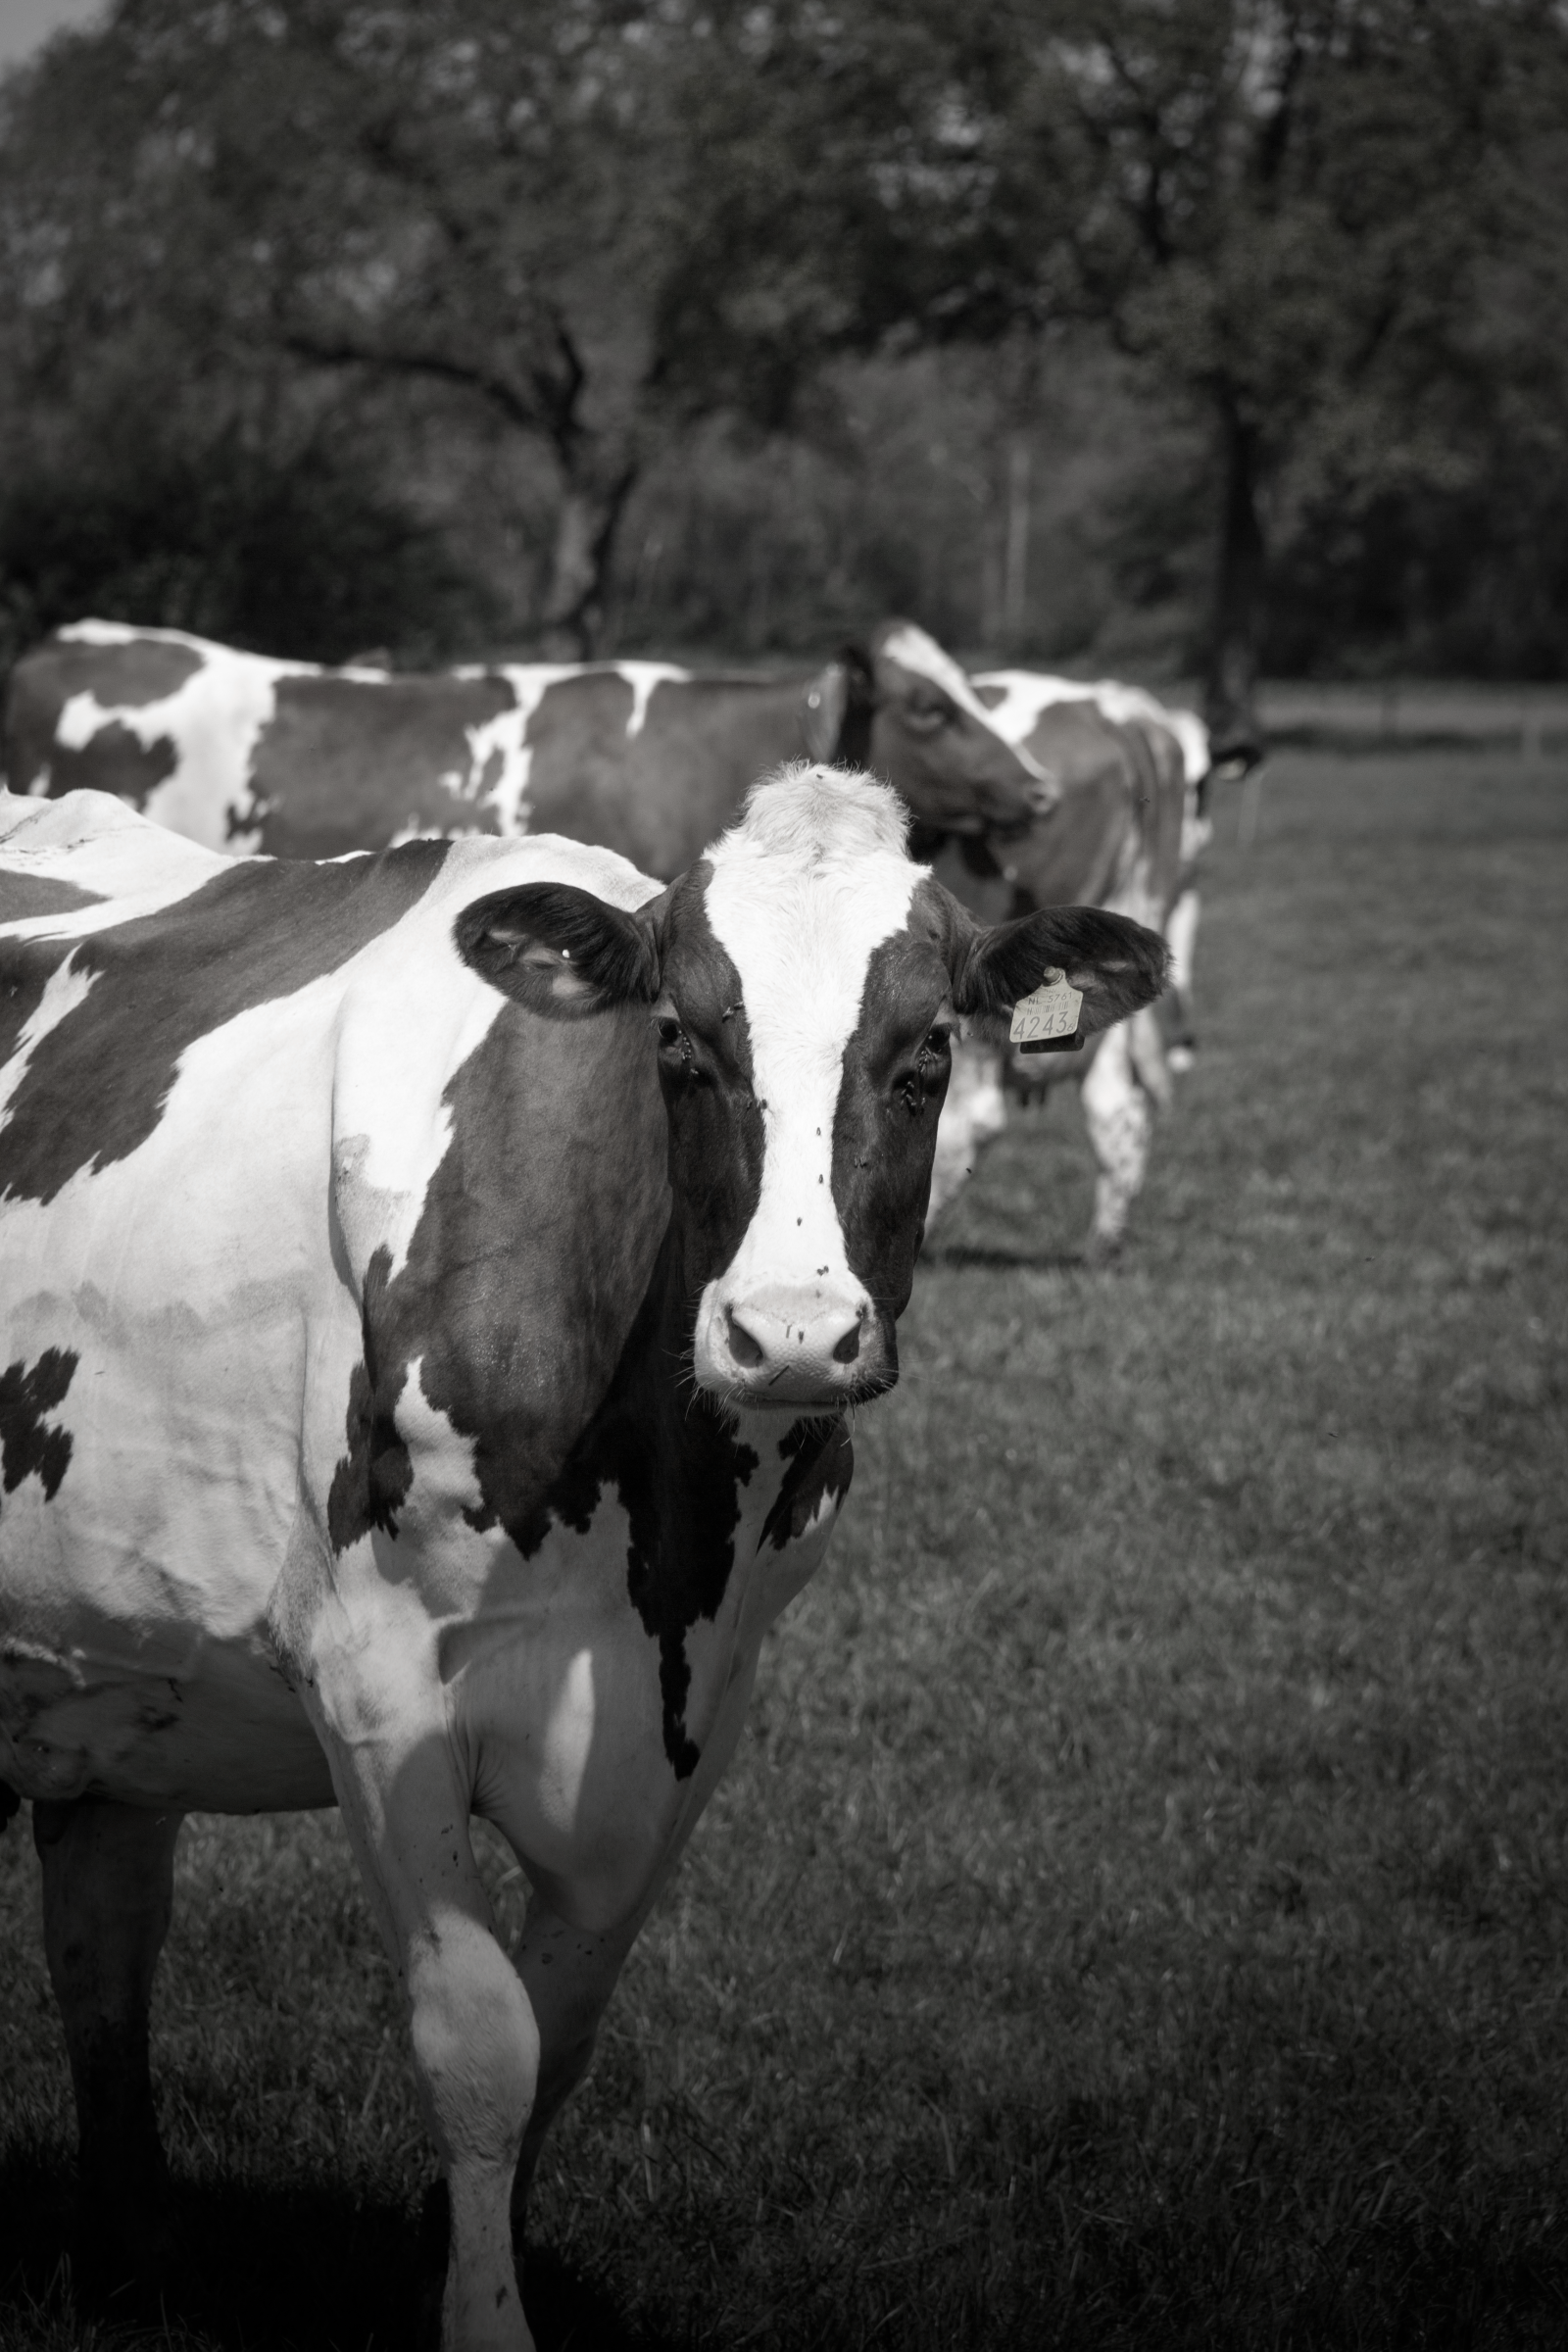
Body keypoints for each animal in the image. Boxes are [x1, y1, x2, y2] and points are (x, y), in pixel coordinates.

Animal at [0, 769, 1165, 2349]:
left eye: (928, 1051)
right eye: (677, 1040)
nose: (790, 1333)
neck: (658, 1539)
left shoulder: (700, 1714)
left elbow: (563, 2033)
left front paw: (443, 2259)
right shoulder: (374, 1682)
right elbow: (482, 2039)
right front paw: (482, 2316)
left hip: (109, 1683)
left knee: (104, 1944)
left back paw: (136, 2262)